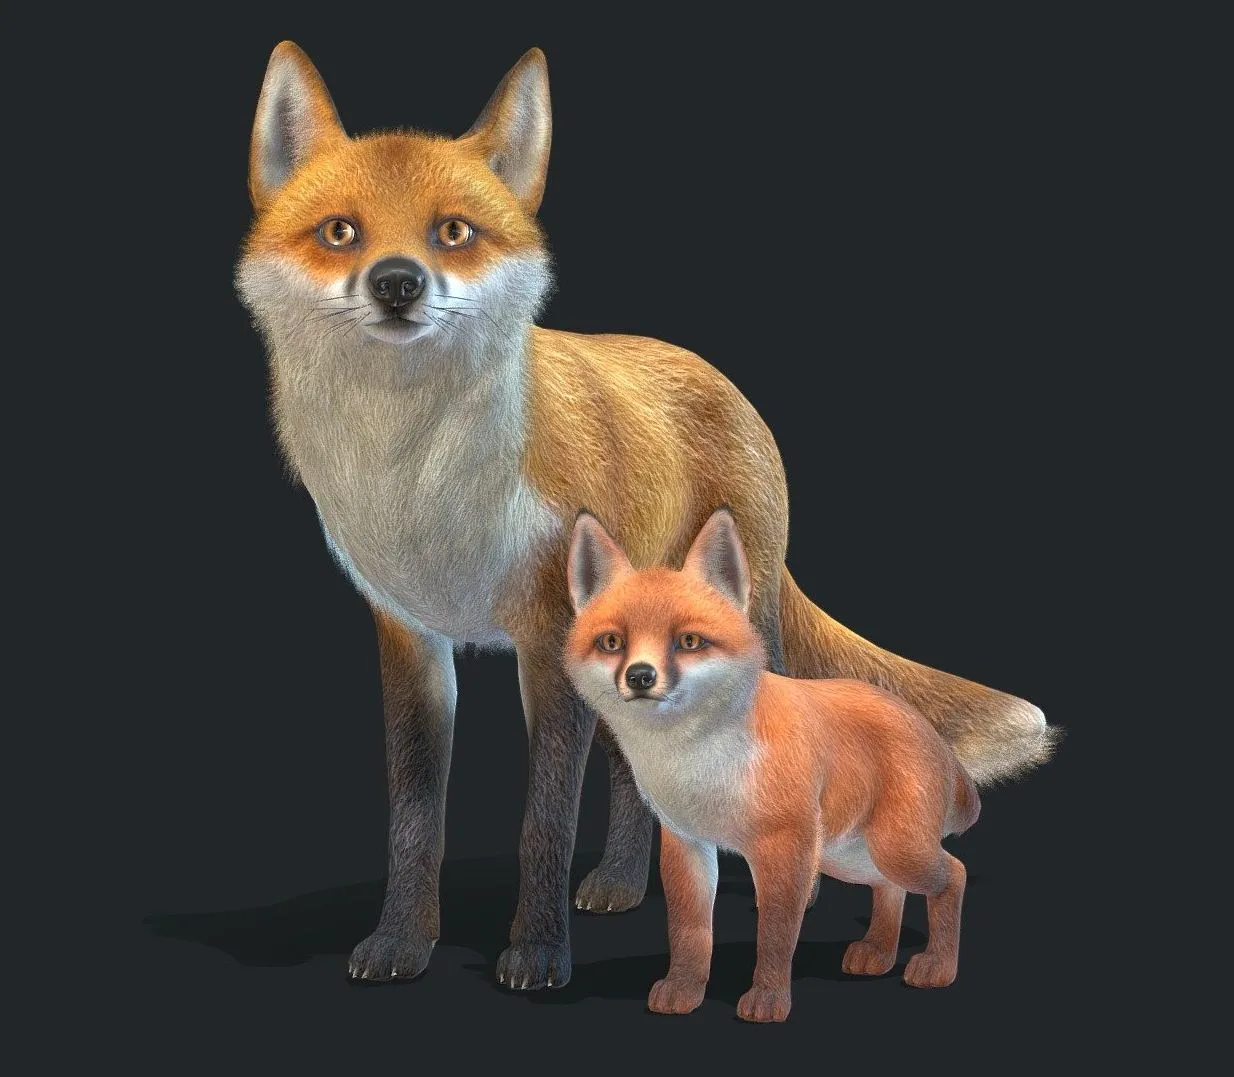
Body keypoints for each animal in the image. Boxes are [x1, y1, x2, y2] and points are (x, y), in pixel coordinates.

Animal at [564, 508, 982, 1021]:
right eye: (612, 642)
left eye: (688, 640)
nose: (640, 676)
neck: (701, 766)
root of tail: (926, 728)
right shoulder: (688, 842)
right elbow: (689, 932)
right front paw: (684, 989)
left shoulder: (785, 847)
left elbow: (776, 935)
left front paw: (768, 998)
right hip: (852, 857)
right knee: (890, 890)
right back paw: (879, 952)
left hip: (895, 849)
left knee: (953, 874)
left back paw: (938, 966)